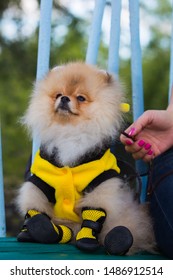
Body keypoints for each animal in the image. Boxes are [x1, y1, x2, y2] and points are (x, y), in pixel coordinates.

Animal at [15, 62, 155, 255]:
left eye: (81, 98)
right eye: (58, 94)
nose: (64, 98)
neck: (70, 131)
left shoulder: (100, 184)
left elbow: (92, 216)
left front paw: (87, 240)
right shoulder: (40, 181)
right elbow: (34, 205)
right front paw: (29, 229)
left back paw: (118, 239)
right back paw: (45, 230)